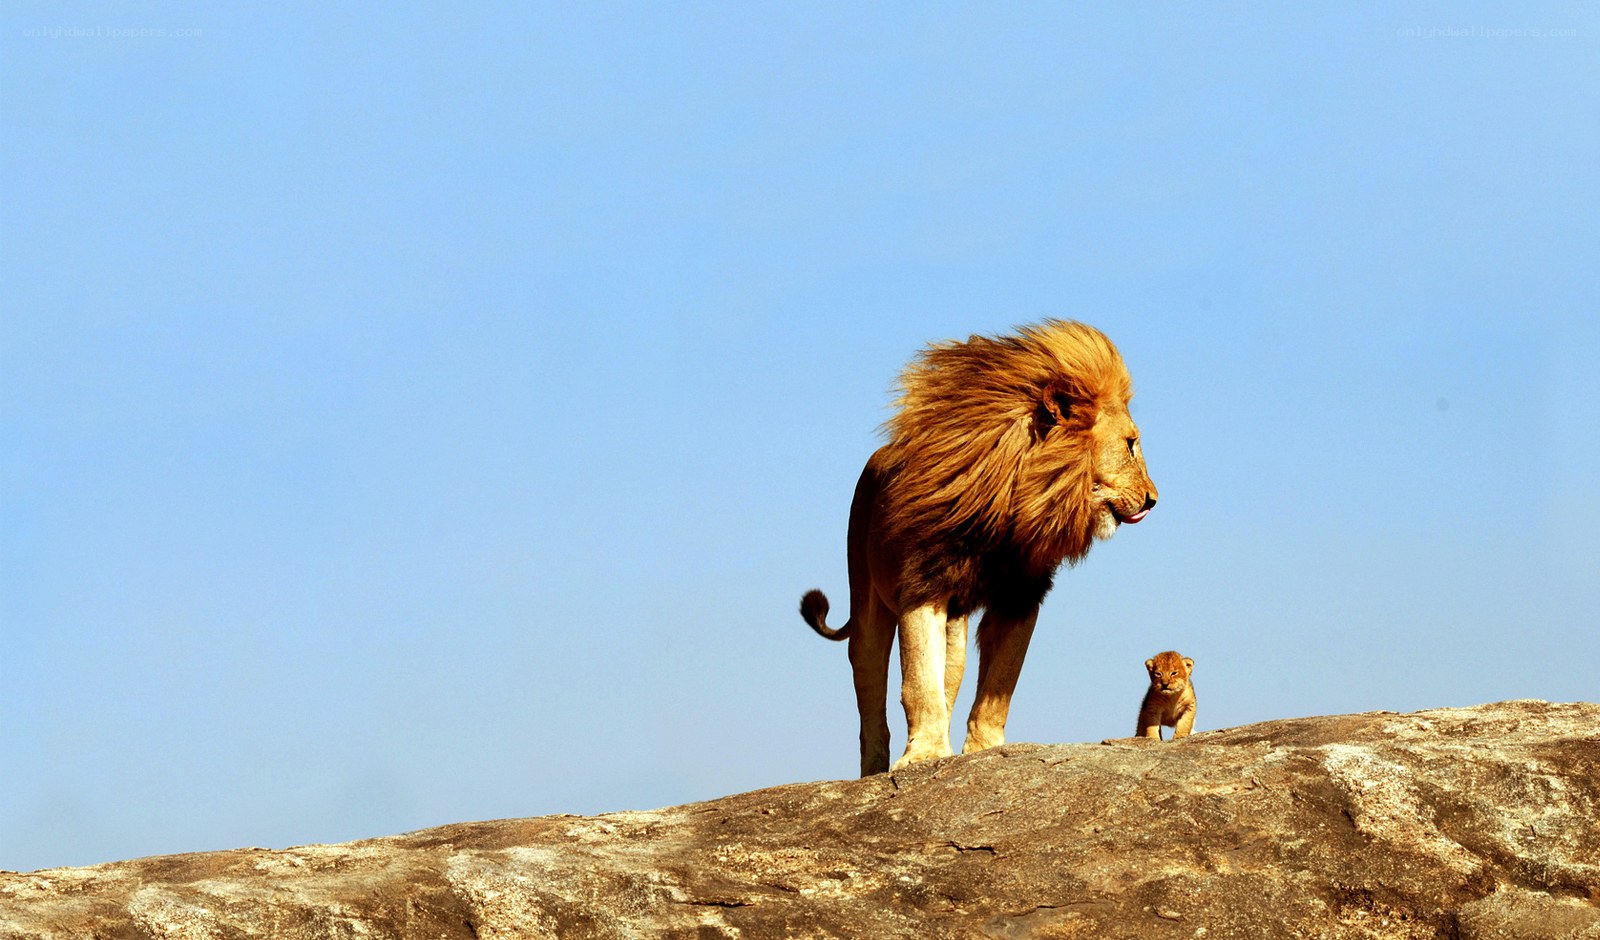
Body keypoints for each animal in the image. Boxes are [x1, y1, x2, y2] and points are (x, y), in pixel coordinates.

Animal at [800, 320, 1157, 776]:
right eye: (1130, 444)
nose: (1153, 499)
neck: (1012, 504)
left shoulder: (1020, 597)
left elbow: (998, 687)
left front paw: (983, 751)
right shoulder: (923, 586)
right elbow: (918, 682)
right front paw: (924, 756)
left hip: (956, 631)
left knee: (948, 679)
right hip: (867, 604)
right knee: (870, 693)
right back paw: (875, 769)